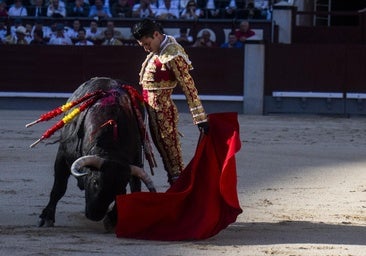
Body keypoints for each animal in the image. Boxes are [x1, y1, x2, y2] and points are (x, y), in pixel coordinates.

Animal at [36, 77, 156, 227]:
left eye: (120, 189)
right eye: (95, 182)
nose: (95, 215)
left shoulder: (136, 161)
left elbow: (133, 189)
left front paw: (112, 219)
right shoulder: (63, 155)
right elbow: (59, 187)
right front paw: (47, 218)